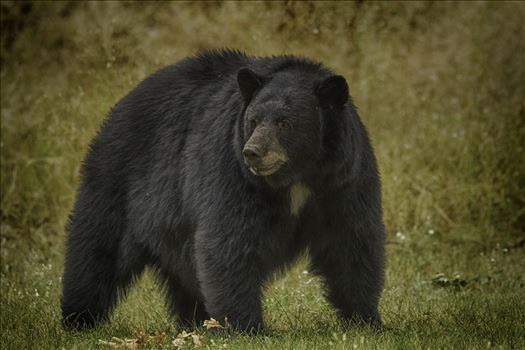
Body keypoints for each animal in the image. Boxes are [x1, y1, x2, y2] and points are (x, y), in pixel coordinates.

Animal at [62, 48, 384, 330]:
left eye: (284, 123)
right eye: (253, 120)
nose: (252, 152)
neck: (298, 177)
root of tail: (120, 105)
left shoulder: (344, 179)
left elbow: (351, 241)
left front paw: (367, 320)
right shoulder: (232, 171)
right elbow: (229, 240)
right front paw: (245, 326)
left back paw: (197, 321)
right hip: (118, 180)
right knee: (97, 248)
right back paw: (78, 318)